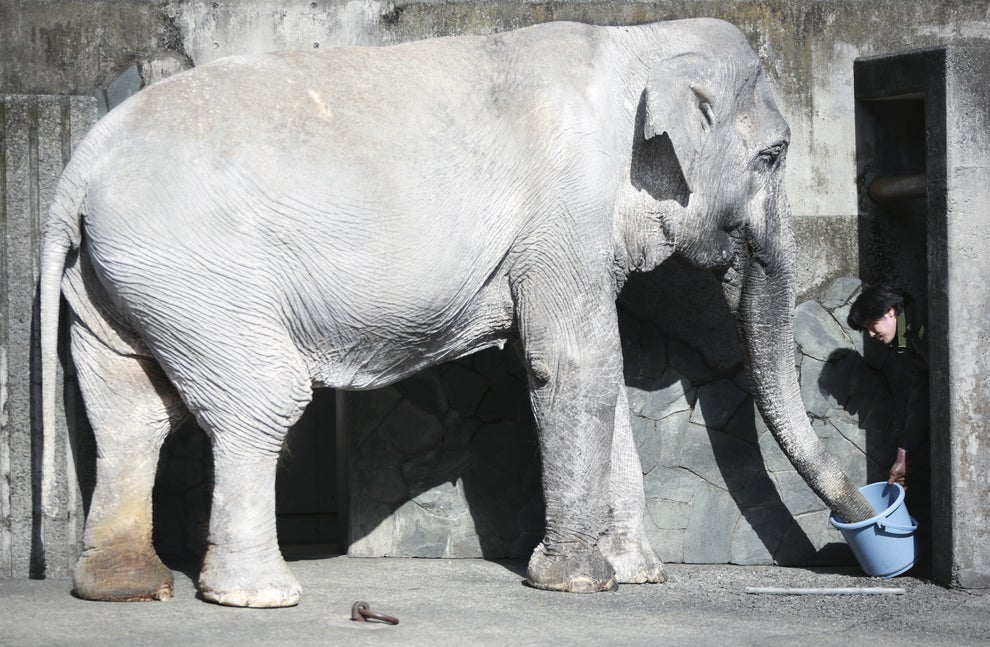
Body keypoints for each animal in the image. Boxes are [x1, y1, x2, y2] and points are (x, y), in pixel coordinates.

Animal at [39, 18, 875, 608]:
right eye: (774, 156)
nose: (862, 531)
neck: (640, 39)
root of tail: (79, 163)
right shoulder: (566, 207)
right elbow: (576, 362)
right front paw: (579, 581)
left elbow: (598, 373)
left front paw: (638, 574)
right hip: (195, 267)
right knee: (260, 398)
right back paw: (260, 595)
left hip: (123, 278)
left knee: (128, 410)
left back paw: (124, 587)